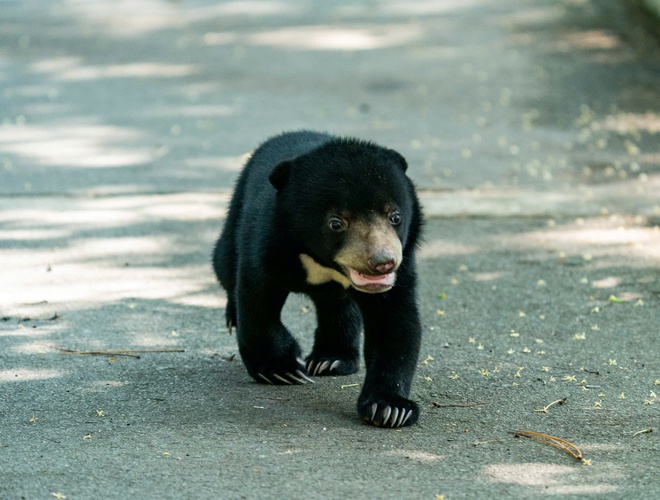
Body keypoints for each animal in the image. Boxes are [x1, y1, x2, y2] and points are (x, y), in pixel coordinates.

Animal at [214, 131, 426, 428]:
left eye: (395, 216)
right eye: (336, 223)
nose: (382, 262)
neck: (324, 263)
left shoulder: (401, 271)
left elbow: (395, 322)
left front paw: (391, 409)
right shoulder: (268, 241)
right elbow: (257, 299)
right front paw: (283, 369)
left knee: (338, 307)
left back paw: (331, 360)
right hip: (236, 211)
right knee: (224, 264)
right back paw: (232, 316)